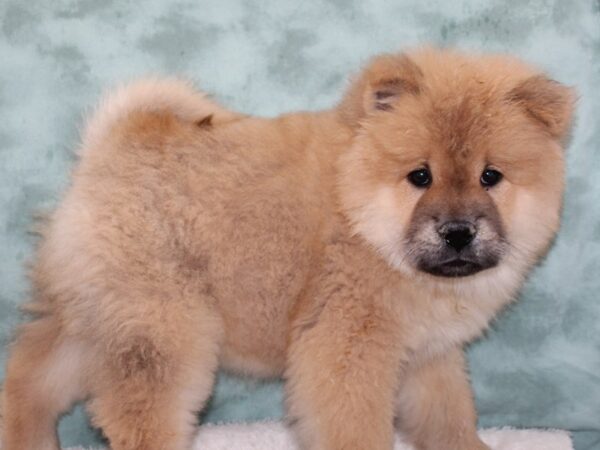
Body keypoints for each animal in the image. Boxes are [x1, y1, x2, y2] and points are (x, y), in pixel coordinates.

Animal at [0, 49, 576, 450]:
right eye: (420, 176)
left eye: (490, 177)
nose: (458, 232)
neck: (362, 219)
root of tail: (109, 149)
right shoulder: (347, 346)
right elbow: (358, 428)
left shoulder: (428, 355)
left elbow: (449, 417)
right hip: (163, 326)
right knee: (137, 415)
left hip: (93, 317)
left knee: (30, 381)